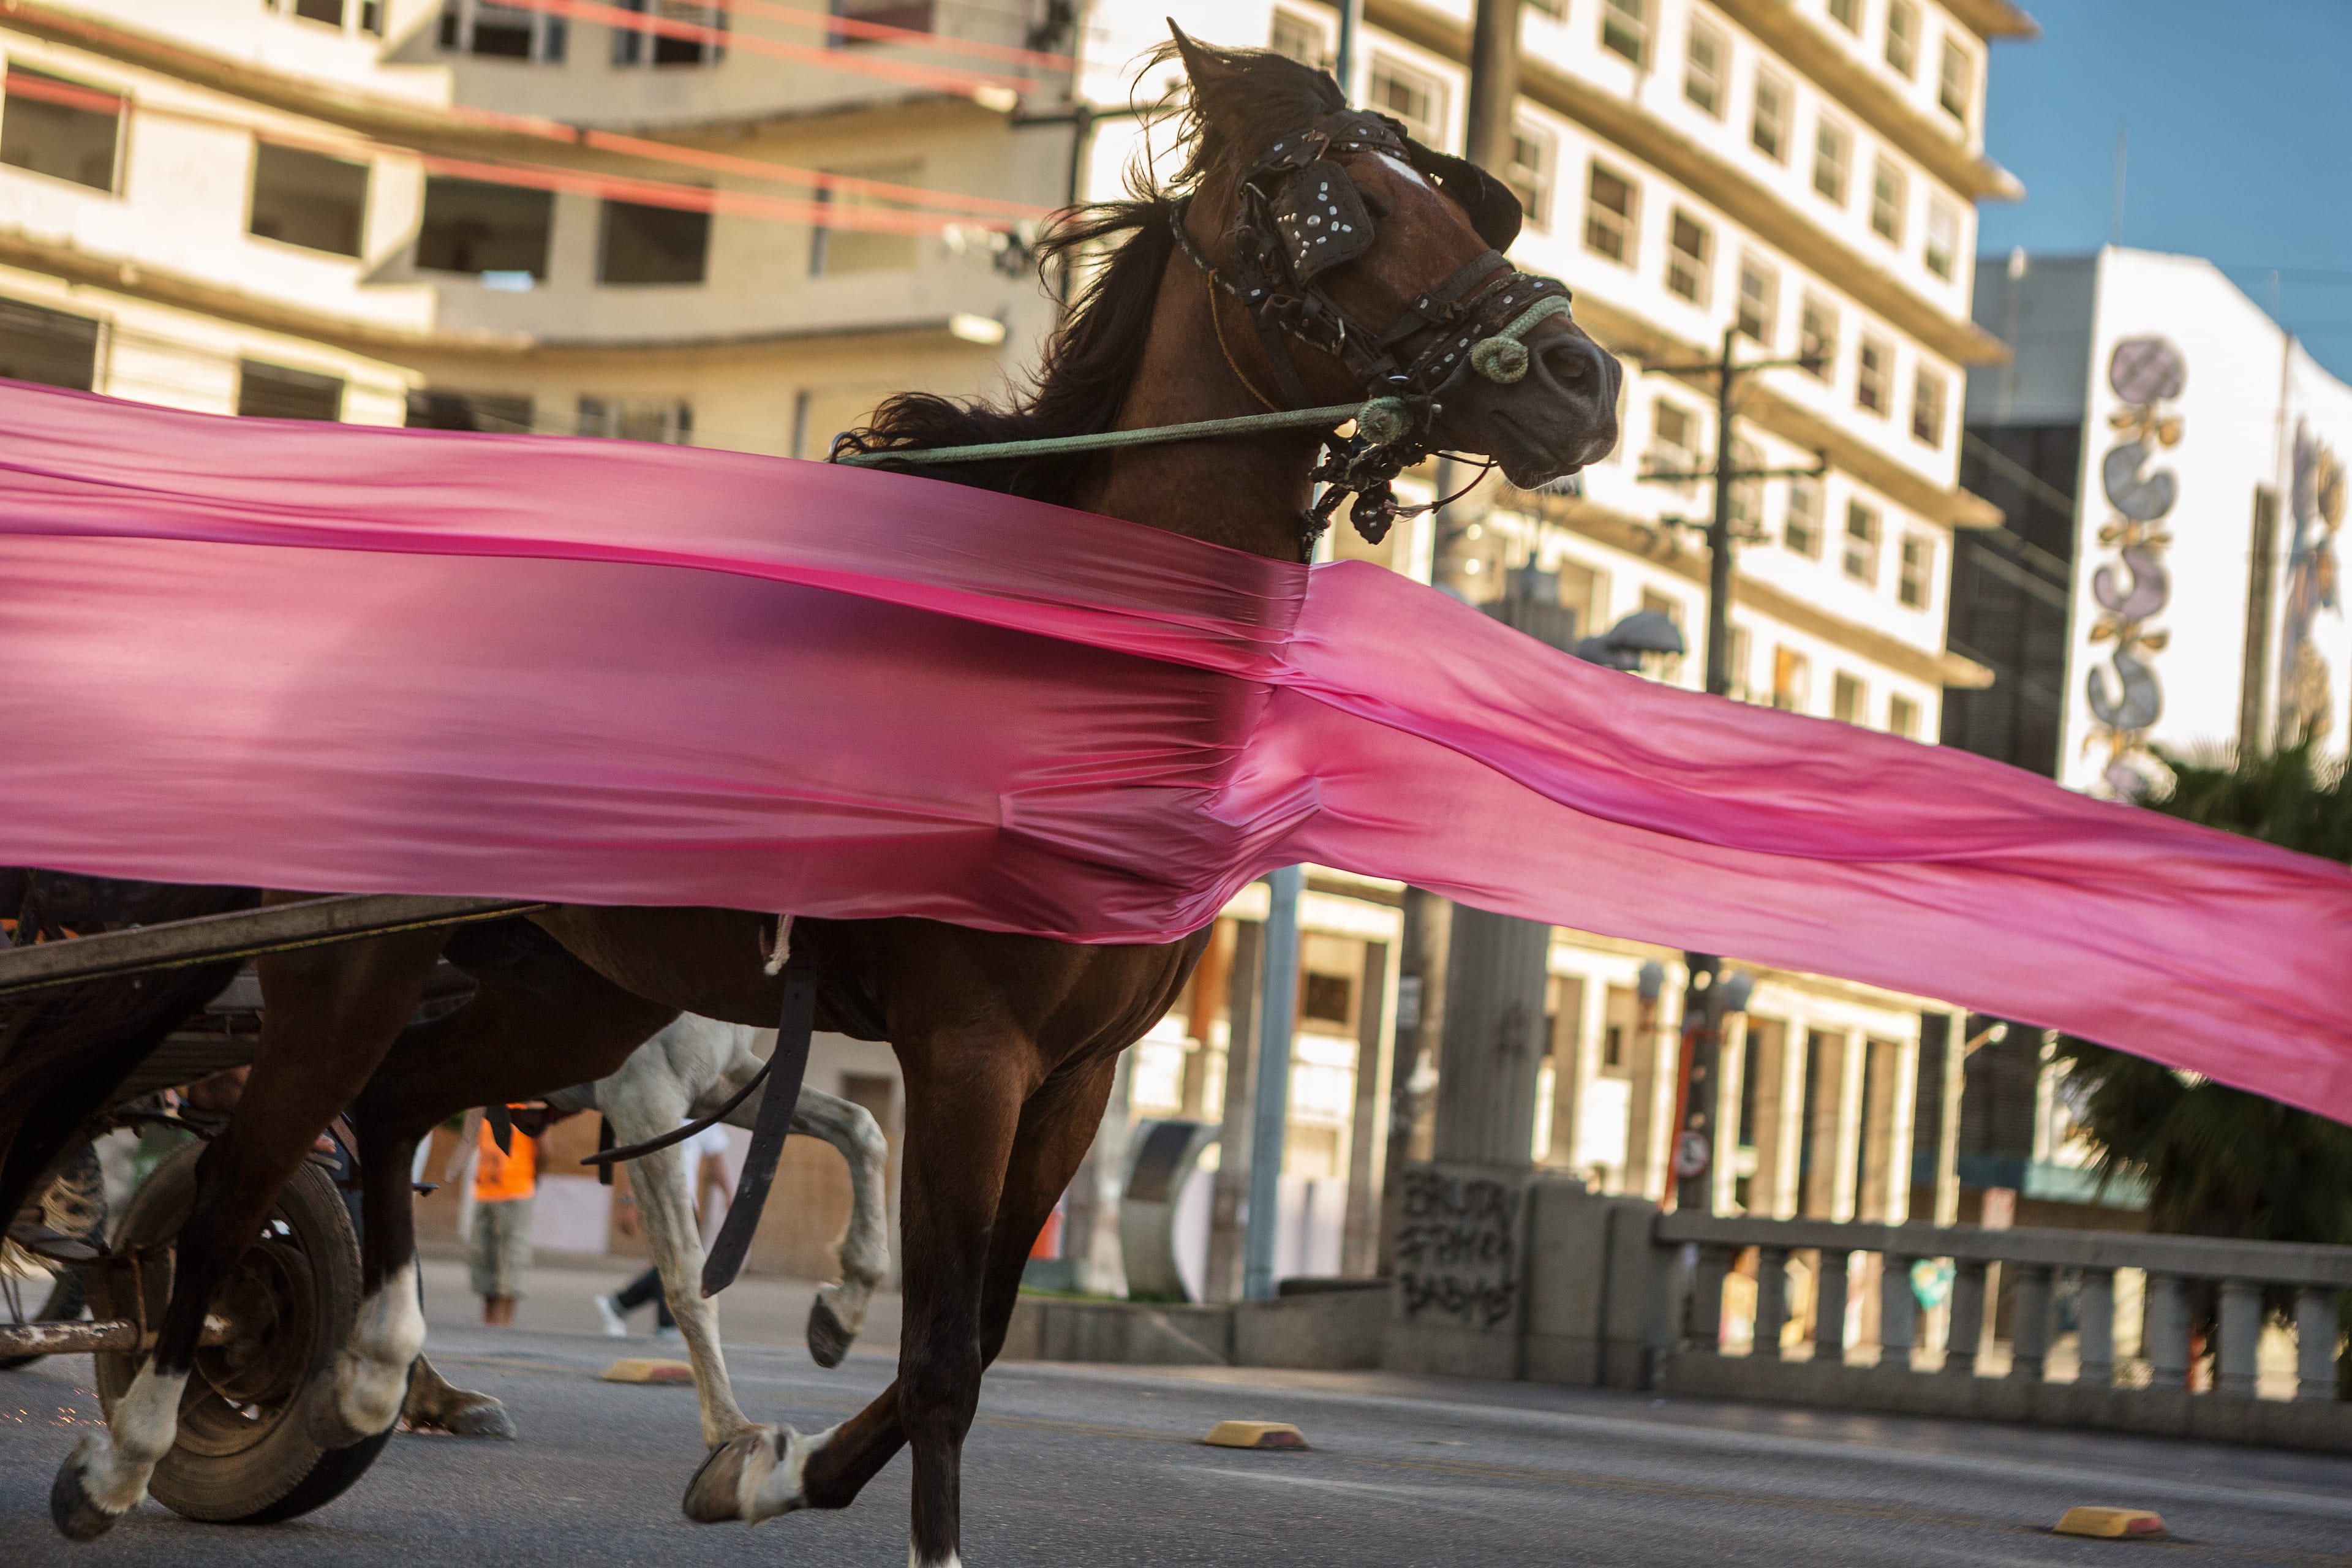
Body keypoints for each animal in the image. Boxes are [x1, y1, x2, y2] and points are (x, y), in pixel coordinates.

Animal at [37, 31, 1618, 1561]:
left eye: (1452, 191)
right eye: (1340, 212)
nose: (1580, 376)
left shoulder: (1081, 1074)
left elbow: (979, 1333)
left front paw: (773, 1467)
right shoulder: (968, 1046)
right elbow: (937, 1350)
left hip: (568, 990)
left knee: (393, 1102)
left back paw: (371, 1367)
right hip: (353, 962)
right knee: (243, 1171)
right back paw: (139, 1437)